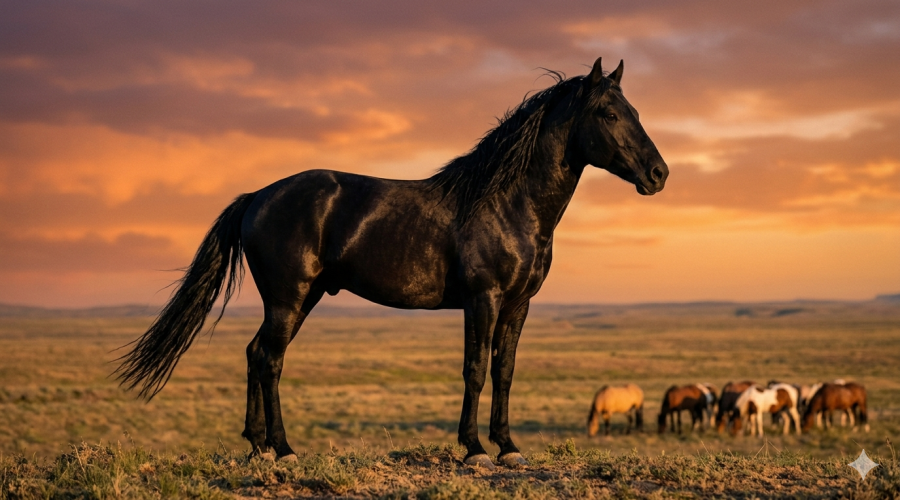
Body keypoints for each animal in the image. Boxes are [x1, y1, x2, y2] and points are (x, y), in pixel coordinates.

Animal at [114, 57, 668, 470]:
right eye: (609, 114)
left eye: (635, 109)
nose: (659, 174)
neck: (507, 203)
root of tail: (257, 197)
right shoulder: (482, 300)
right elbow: (474, 369)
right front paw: (474, 449)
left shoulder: (518, 305)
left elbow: (505, 370)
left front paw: (509, 448)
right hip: (289, 297)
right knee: (269, 359)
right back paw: (285, 450)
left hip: (302, 298)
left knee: (255, 353)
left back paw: (259, 447)